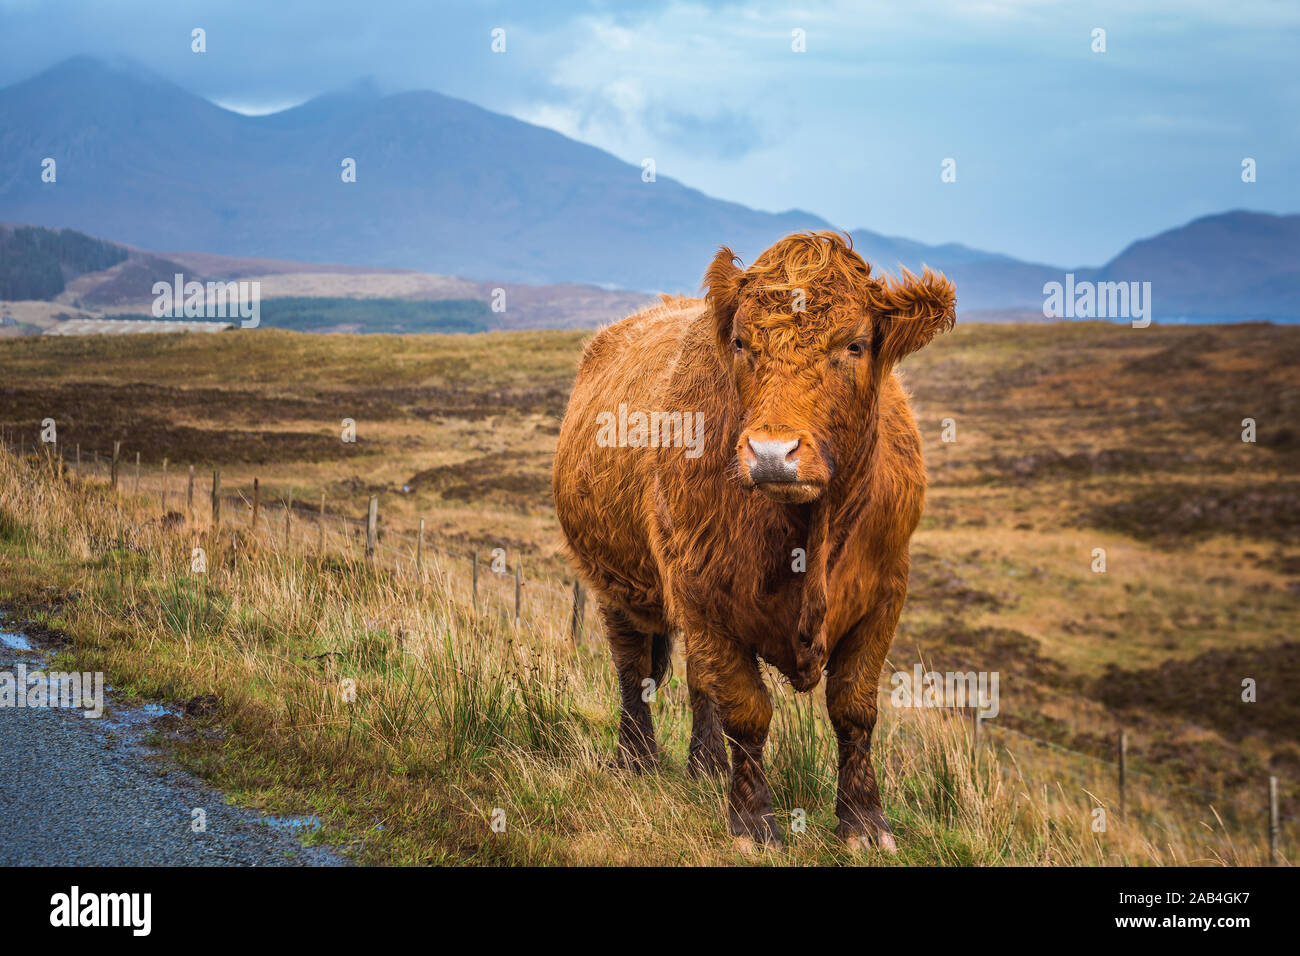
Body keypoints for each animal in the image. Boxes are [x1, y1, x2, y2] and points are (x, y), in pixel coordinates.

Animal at [552, 231, 956, 850]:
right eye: (742, 343)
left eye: (856, 344)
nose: (772, 453)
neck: (808, 534)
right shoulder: (700, 591)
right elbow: (747, 710)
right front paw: (753, 821)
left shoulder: (884, 594)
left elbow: (854, 707)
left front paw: (864, 821)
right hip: (616, 583)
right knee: (633, 668)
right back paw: (636, 759)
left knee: (698, 682)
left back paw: (706, 766)